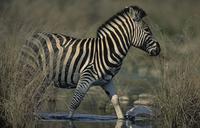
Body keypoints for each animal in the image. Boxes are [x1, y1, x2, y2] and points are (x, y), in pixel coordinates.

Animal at [19, 5, 160, 119]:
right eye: (147, 30)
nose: (159, 49)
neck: (108, 50)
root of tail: (34, 36)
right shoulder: (86, 77)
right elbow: (74, 103)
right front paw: (68, 119)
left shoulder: (107, 81)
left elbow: (116, 102)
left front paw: (122, 119)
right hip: (30, 71)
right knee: (26, 92)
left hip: (43, 79)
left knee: (33, 95)